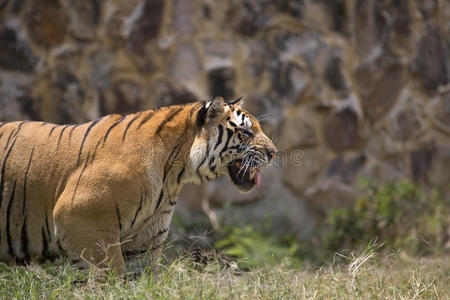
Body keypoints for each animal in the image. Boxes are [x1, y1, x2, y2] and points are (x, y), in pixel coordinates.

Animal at [0, 96, 278, 274]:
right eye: (246, 132)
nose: (274, 153)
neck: (174, 174)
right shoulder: (79, 217)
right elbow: (111, 274)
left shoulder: (143, 241)